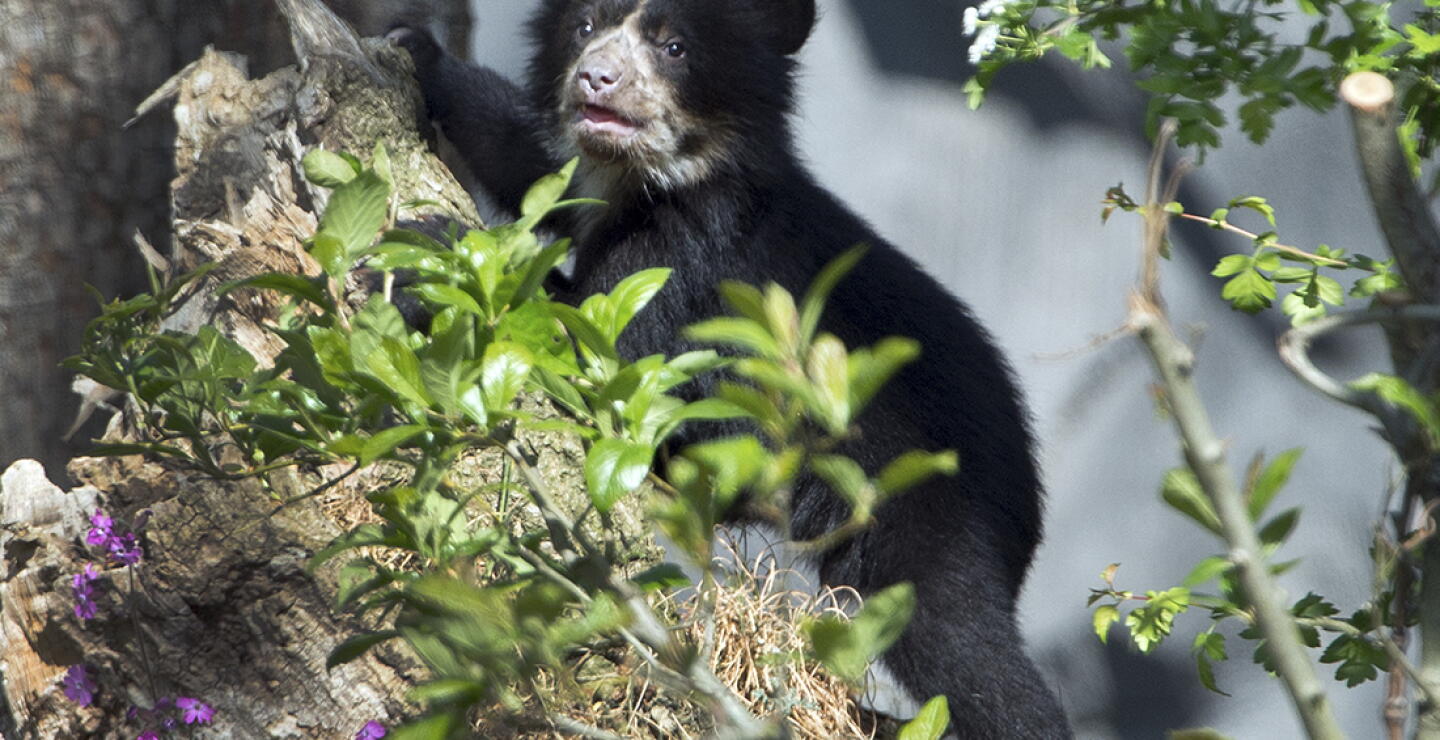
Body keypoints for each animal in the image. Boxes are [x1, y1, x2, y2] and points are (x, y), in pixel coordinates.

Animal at [389, 1, 1071, 736]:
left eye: (674, 48)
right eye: (585, 26)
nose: (596, 78)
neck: (658, 178)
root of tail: (1028, 504)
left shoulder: (690, 255)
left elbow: (604, 364)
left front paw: (430, 261)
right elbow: (541, 171)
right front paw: (416, 54)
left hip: (925, 506)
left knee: (963, 642)